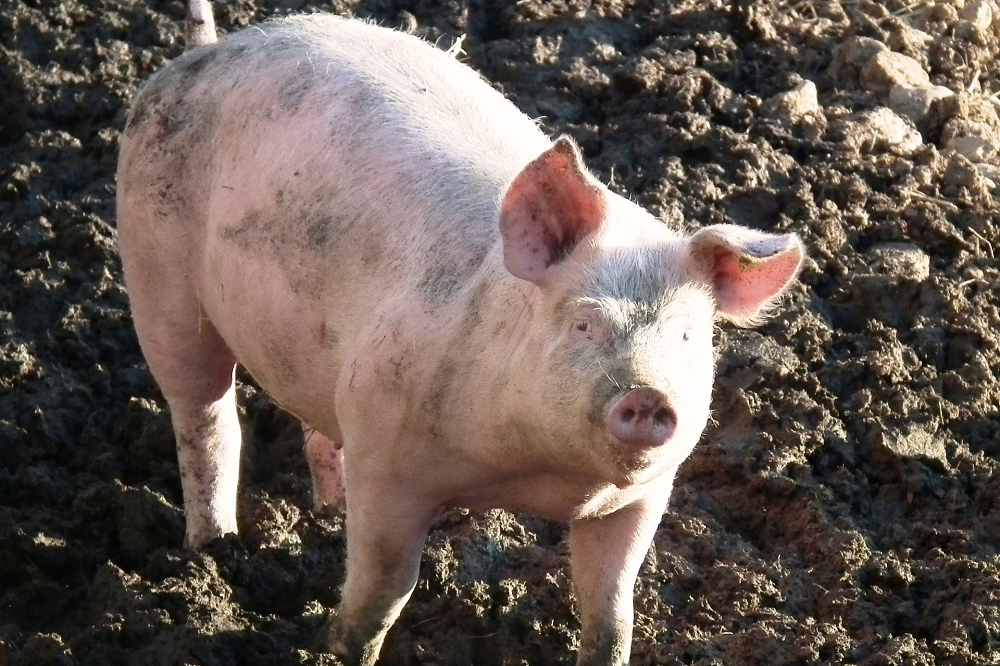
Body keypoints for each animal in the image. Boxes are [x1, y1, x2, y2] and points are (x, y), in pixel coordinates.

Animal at [115, 2, 804, 660]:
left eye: (688, 337)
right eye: (584, 321)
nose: (648, 395)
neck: (537, 475)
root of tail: (205, 53)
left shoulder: (642, 497)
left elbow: (611, 612)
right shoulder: (388, 452)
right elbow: (385, 589)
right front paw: (342, 648)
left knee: (314, 430)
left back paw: (326, 514)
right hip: (155, 272)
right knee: (205, 415)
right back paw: (213, 547)